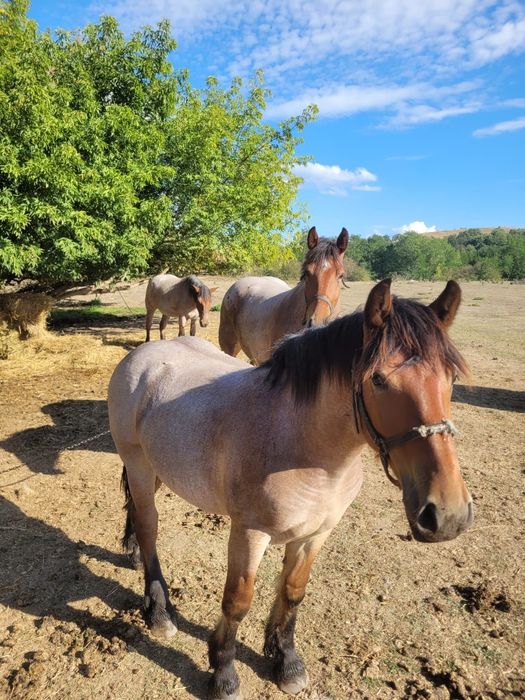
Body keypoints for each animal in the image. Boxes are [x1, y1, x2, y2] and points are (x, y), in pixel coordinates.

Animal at [108, 279, 473, 700]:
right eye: (379, 380)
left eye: (451, 379)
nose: (447, 515)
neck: (303, 447)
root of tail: (143, 354)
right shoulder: (249, 533)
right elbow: (238, 601)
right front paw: (224, 671)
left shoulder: (316, 533)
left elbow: (293, 591)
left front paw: (286, 660)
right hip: (138, 465)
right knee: (149, 527)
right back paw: (157, 611)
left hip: (156, 469)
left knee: (137, 515)